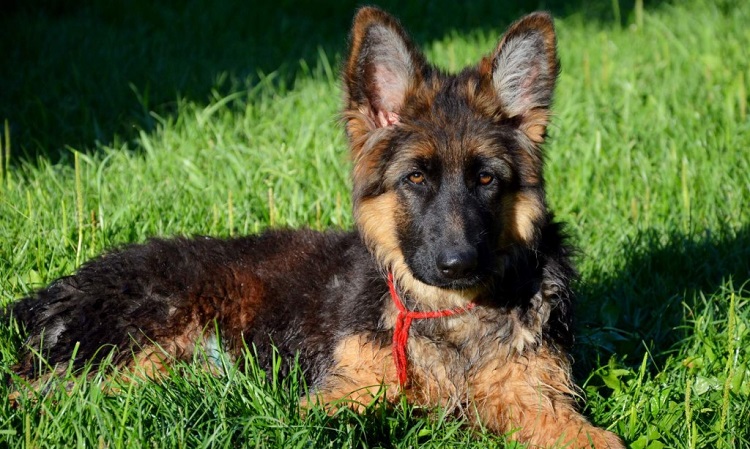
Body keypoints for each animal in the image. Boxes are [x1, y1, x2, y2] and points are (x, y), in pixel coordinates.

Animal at [9, 7, 624, 448]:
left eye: (487, 179)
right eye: (416, 178)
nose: (458, 265)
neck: (447, 317)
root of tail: (50, 294)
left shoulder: (537, 393)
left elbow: (600, 440)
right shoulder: (341, 394)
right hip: (138, 355)